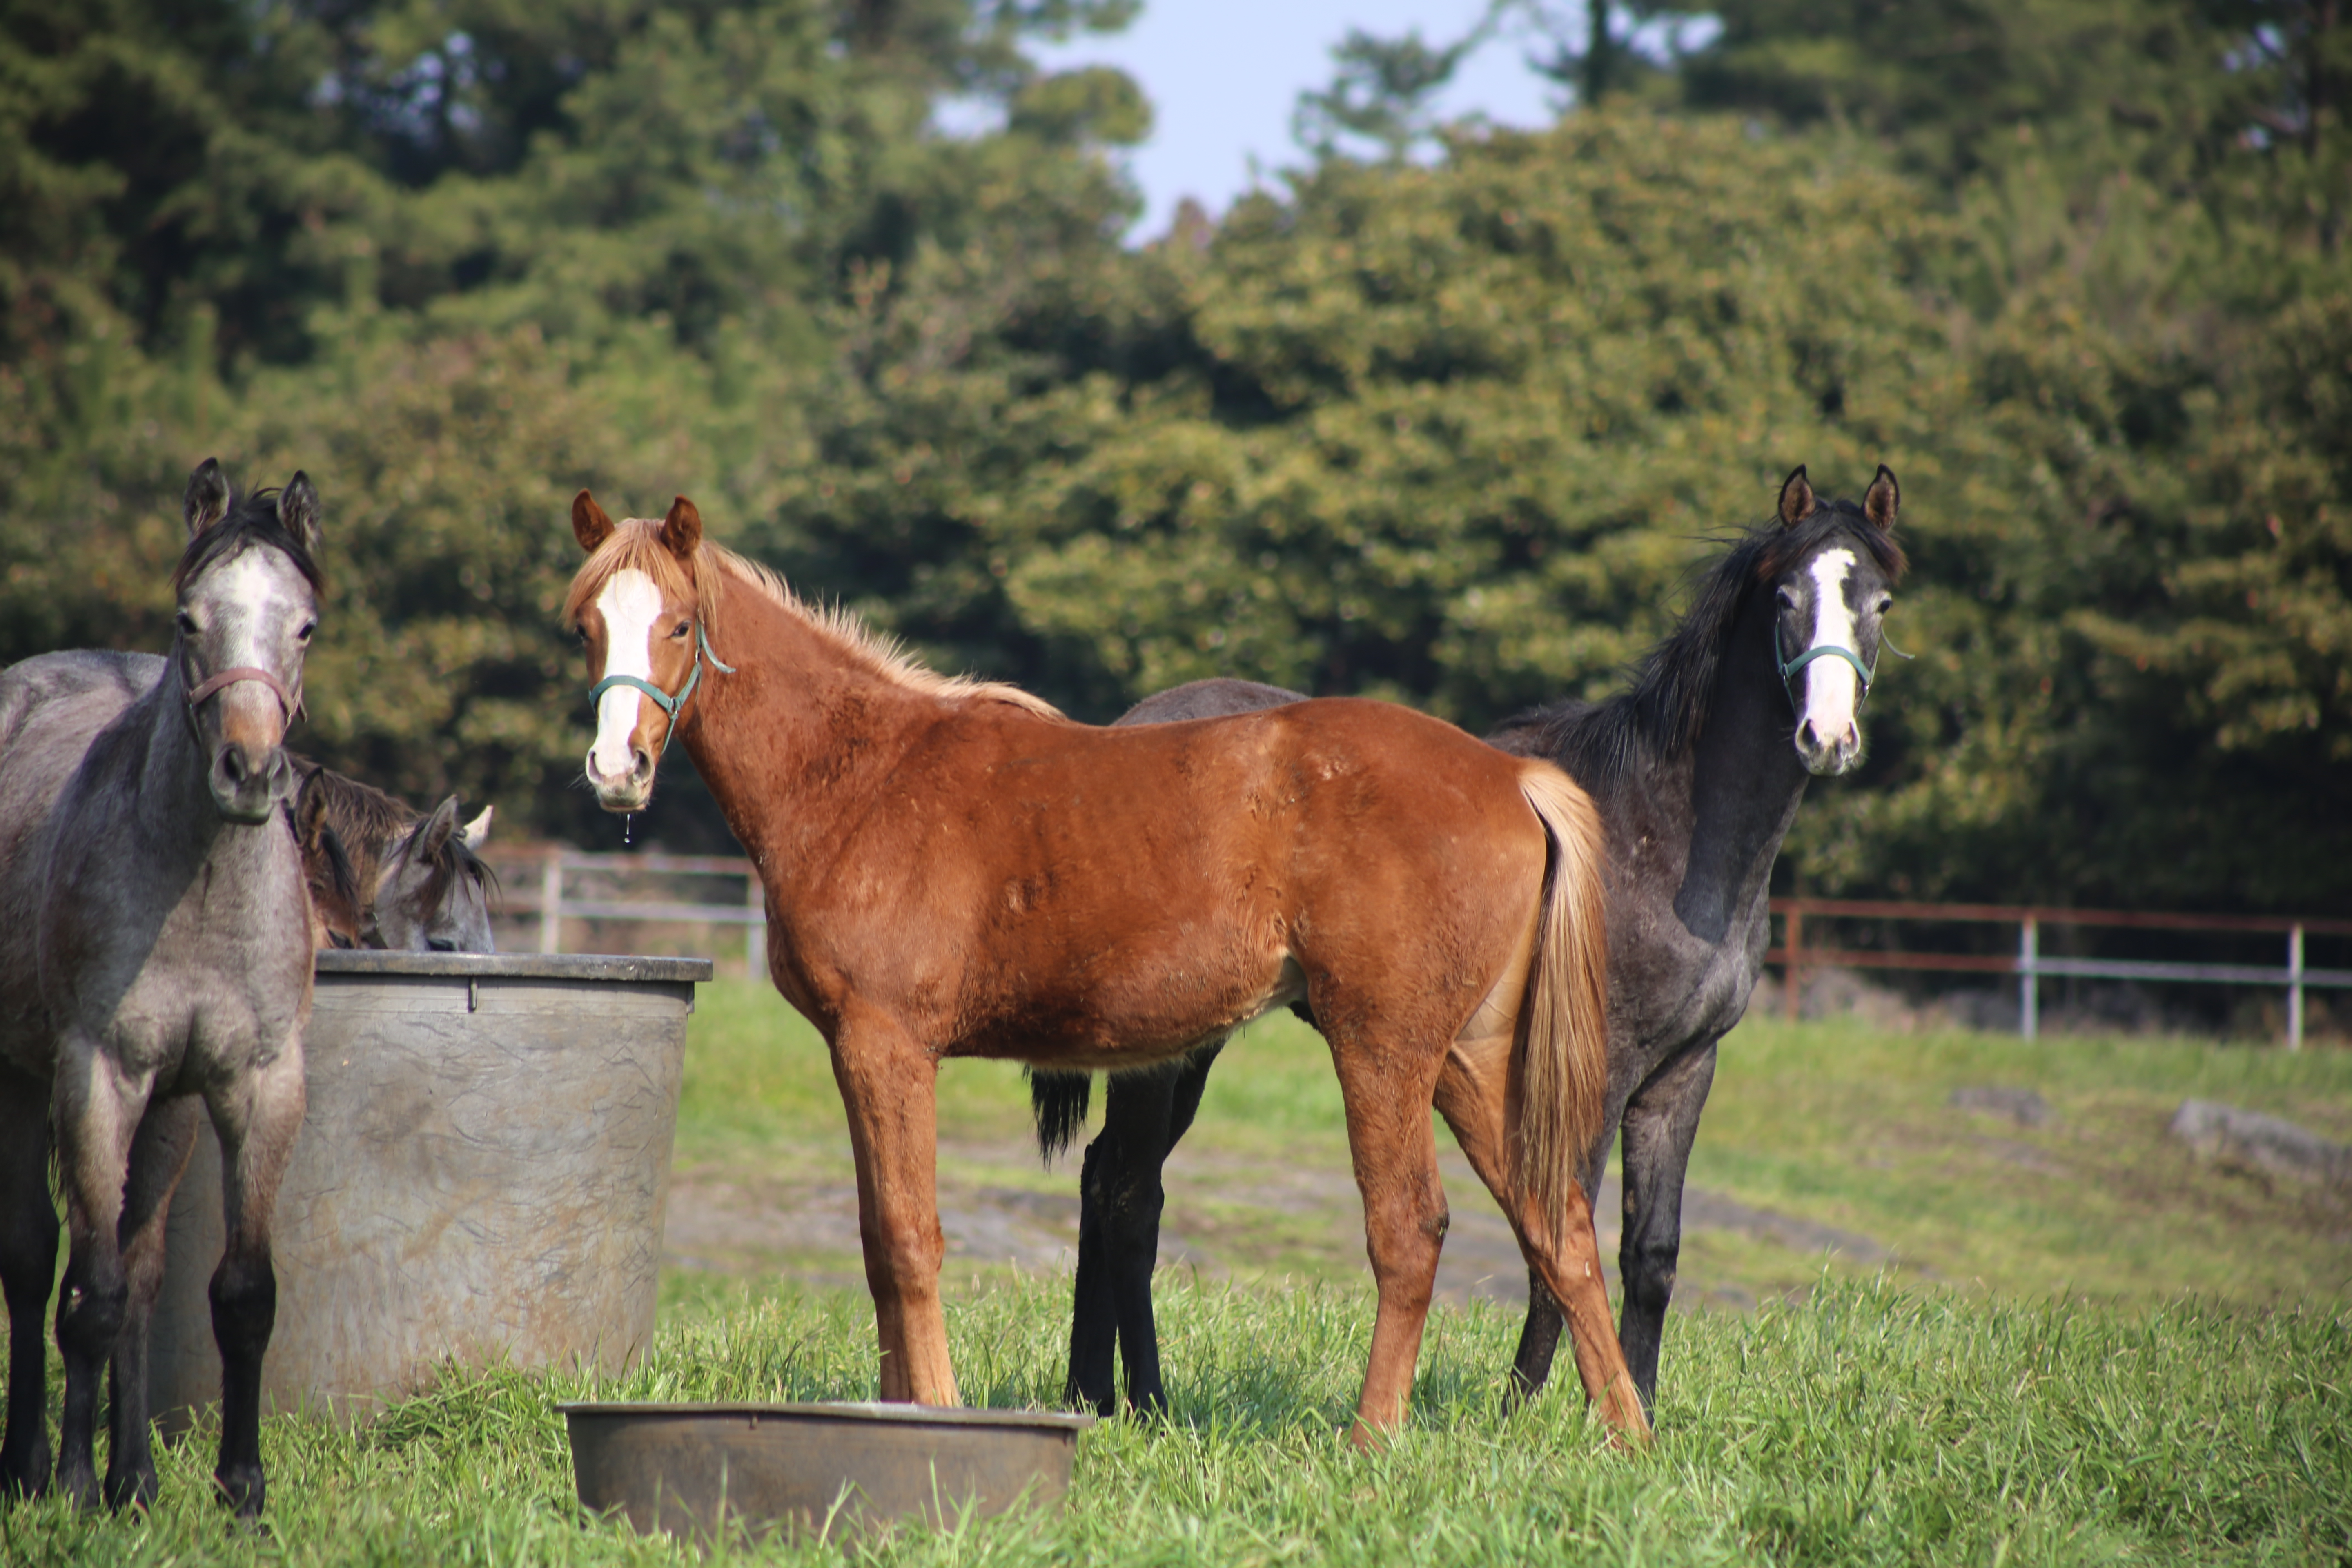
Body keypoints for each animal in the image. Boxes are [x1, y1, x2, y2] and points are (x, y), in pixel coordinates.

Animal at [0, 461, 322, 1514]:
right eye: (191, 619)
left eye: (305, 626)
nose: (250, 770)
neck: (202, 883)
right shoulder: (96, 1076)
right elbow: (88, 1298)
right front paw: (71, 1491)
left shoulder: (258, 1085)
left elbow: (239, 1294)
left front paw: (243, 1489)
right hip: (22, 1077)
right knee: (35, 1264)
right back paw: (32, 1466)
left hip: (172, 1109)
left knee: (141, 1268)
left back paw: (135, 1478)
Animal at [559, 493, 1646, 1448]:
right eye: (585, 630)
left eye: (679, 624)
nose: (616, 772)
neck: (862, 774)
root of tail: (1513, 777)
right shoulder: (859, 1053)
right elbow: (875, 1240)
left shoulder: (886, 1045)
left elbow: (910, 1239)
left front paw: (938, 1414)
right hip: (1470, 1057)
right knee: (1558, 1223)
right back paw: (1626, 1437)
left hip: (1383, 1049)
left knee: (1410, 1229)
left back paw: (1371, 1440)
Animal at [1039, 463, 1900, 1420]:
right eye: (1786, 598)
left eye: (1880, 602)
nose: (1828, 738)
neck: (1660, 835)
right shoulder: (1592, 1069)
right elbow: (1556, 1232)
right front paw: (1524, 1408)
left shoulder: (1683, 1071)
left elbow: (1650, 1254)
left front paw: (1636, 1406)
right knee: (1131, 1195)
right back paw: (1144, 1399)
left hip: (1187, 1041)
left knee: (1104, 1177)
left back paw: (1089, 1394)